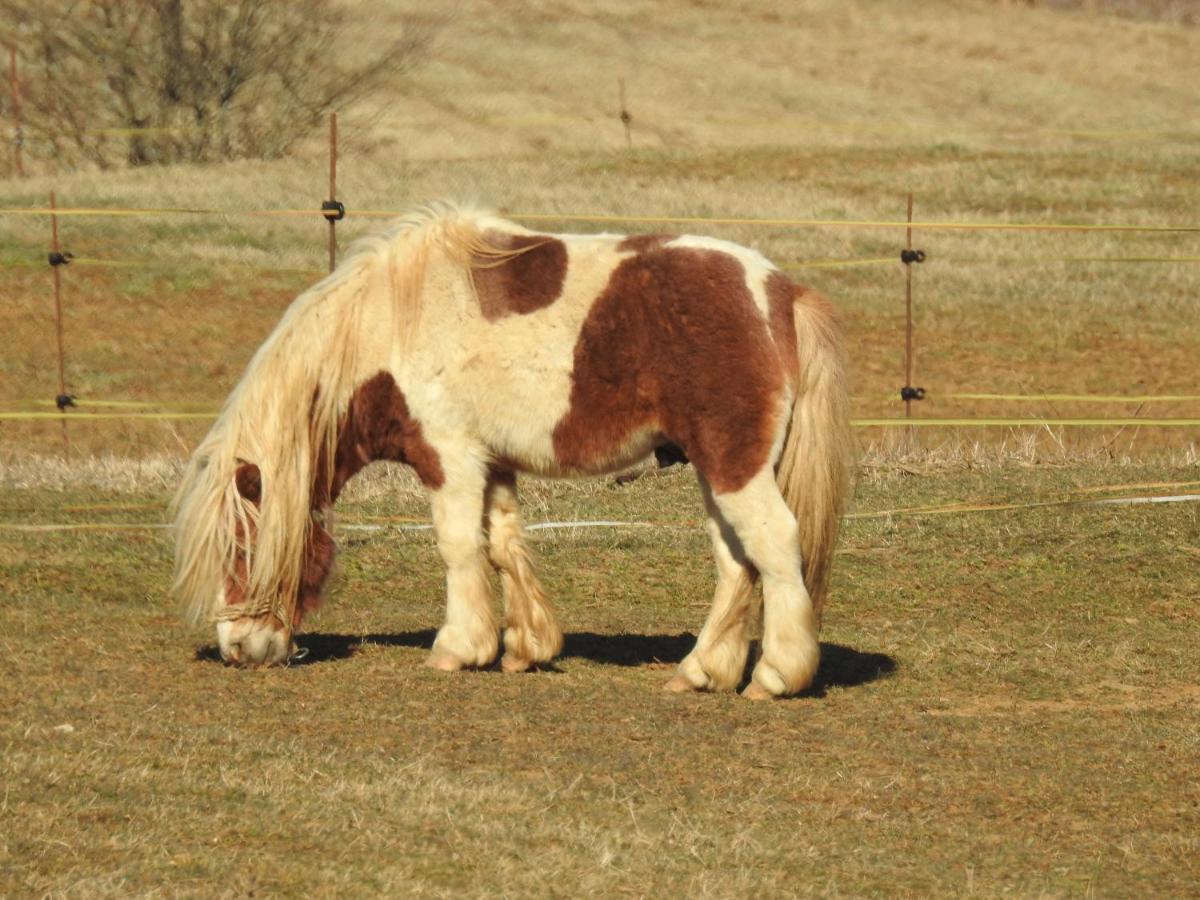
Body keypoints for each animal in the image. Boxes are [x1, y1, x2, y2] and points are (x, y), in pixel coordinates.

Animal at [175, 202, 854, 696]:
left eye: (243, 547)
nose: (239, 649)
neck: (388, 326)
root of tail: (780, 292)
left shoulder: (447, 457)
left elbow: (457, 547)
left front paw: (458, 648)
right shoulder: (491, 461)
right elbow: (501, 544)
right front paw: (525, 647)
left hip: (735, 466)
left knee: (774, 545)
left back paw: (775, 676)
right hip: (715, 471)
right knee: (737, 561)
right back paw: (701, 672)